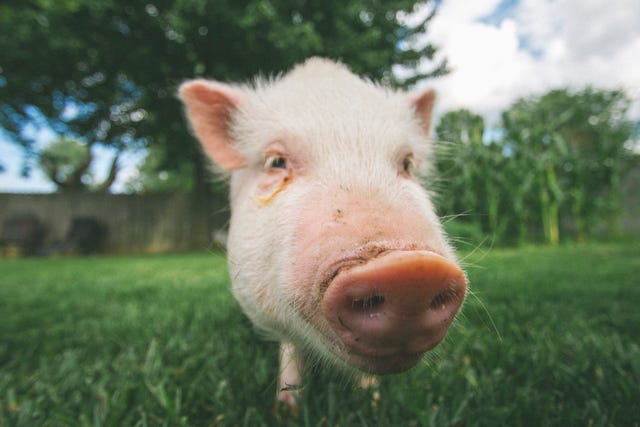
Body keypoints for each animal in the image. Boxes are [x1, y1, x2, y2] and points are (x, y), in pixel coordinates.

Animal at [178, 58, 468, 410]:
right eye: (276, 161)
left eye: (407, 164)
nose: (411, 271)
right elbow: (291, 347)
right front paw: (287, 409)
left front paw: (372, 401)